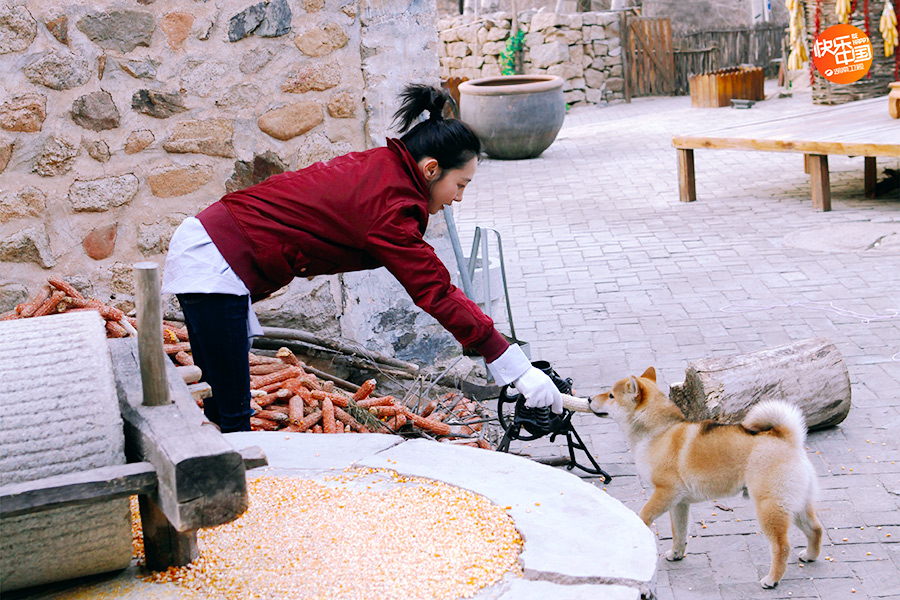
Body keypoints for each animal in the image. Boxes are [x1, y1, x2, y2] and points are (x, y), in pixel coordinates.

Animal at [588, 368, 828, 588]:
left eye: (611, 395)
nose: (589, 399)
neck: (659, 432)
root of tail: (789, 439)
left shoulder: (665, 493)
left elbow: (643, 516)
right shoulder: (679, 502)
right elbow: (679, 533)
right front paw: (676, 554)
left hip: (769, 507)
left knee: (781, 546)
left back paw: (772, 579)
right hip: (795, 505)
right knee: (815, 529)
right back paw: (810, 555)